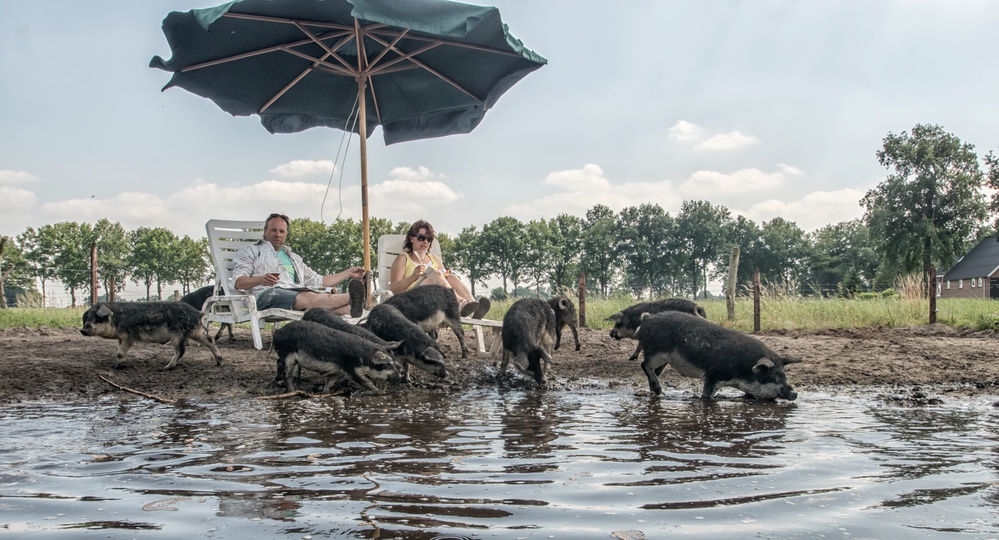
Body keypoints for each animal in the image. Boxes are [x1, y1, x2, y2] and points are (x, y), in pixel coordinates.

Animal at [80, 301, 222, 370]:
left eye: (97, 318)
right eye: (87, 318)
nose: (83, 330)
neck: (117, 319)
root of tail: (197, 312)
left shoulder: (129, 335)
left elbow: (120, 353)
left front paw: (118, 367)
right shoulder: (122, 337)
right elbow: (119, 352)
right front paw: (117, 366)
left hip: (178, 333)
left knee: (181, 350)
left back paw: (165, 368)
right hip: (195, 331)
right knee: (209, 340)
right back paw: (219, 362)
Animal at [272, 320, 402, 394]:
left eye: (393, 361)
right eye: (388, 364)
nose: (400, 373)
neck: (365, 358)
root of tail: (277, 331)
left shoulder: (337, 370)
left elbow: (330, 381)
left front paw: (325, 393)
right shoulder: (351, 368)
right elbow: (365, 381)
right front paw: (380, 392)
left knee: (278, 362)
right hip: (286, 354)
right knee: (287, 374)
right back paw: (293, 391)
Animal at [636, 311, 801, 400]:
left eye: (784, 374)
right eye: (773, 375)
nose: (794, 393)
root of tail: (646, 319)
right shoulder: (713, 374)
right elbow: (707, 395)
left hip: (663, 360)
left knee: (654, 372)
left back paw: (656, 392)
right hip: (654, 352)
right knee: (644, 365)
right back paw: (658, 390)